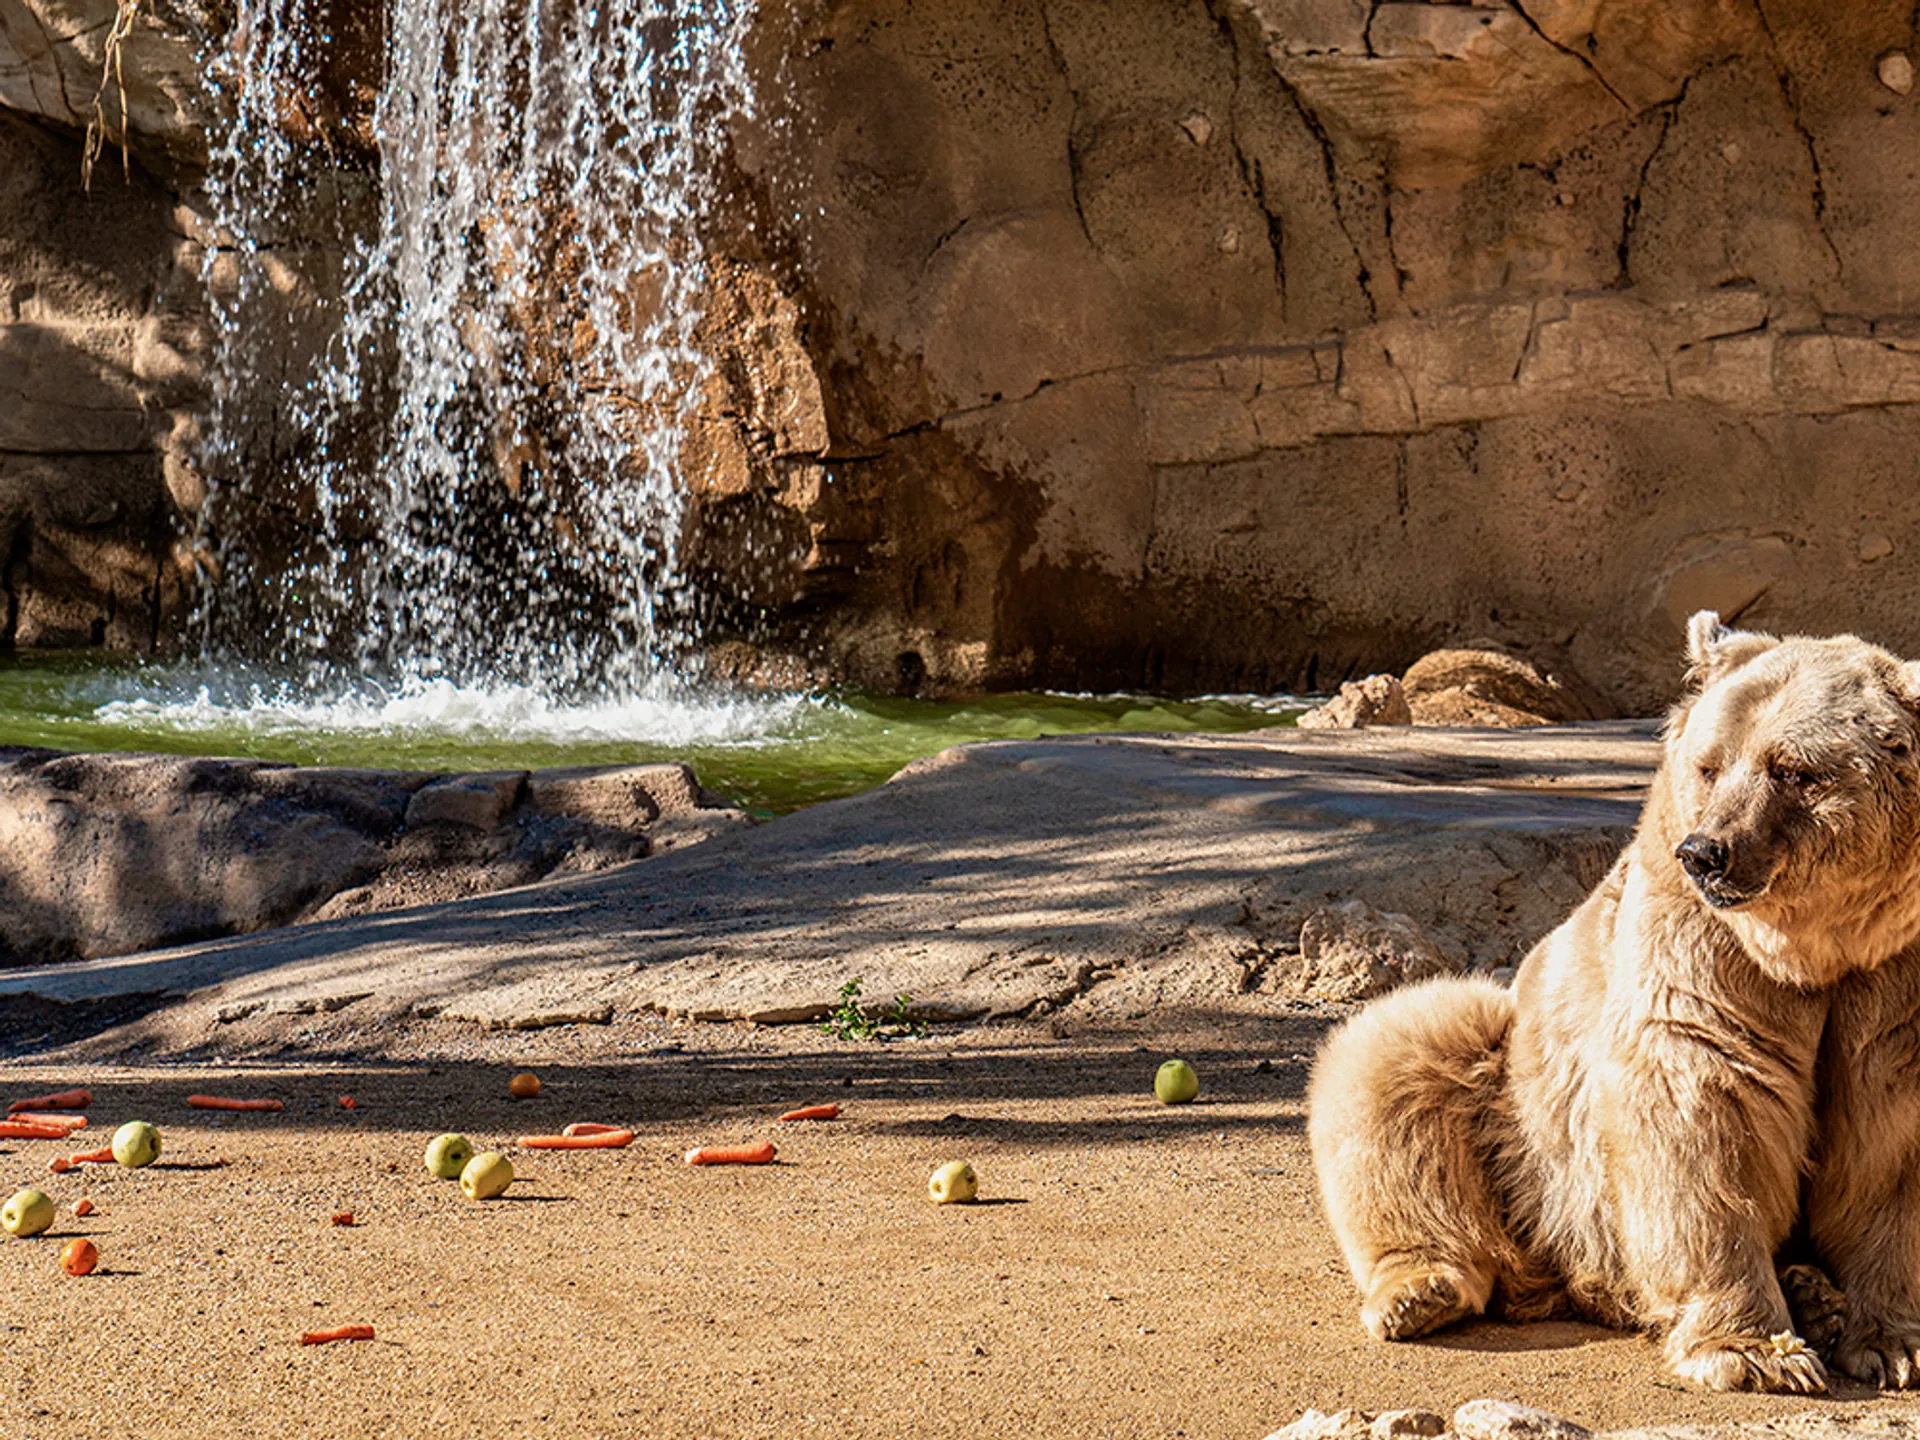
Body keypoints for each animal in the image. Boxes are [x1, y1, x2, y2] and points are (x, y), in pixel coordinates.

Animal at [1308, 611, 1920, 1393]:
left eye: (1792, 769)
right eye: (1710, 764)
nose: (1707, 852)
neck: (1820, 949)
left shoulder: (1893, 968)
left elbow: (1890, 1128)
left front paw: (1891, 1342)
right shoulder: (1700, 943)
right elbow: (1699, 1094)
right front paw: (1754, 1352)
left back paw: (1815, 1292)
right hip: (1520, 1110)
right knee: (1404, 1047)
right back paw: (1422, 1290)